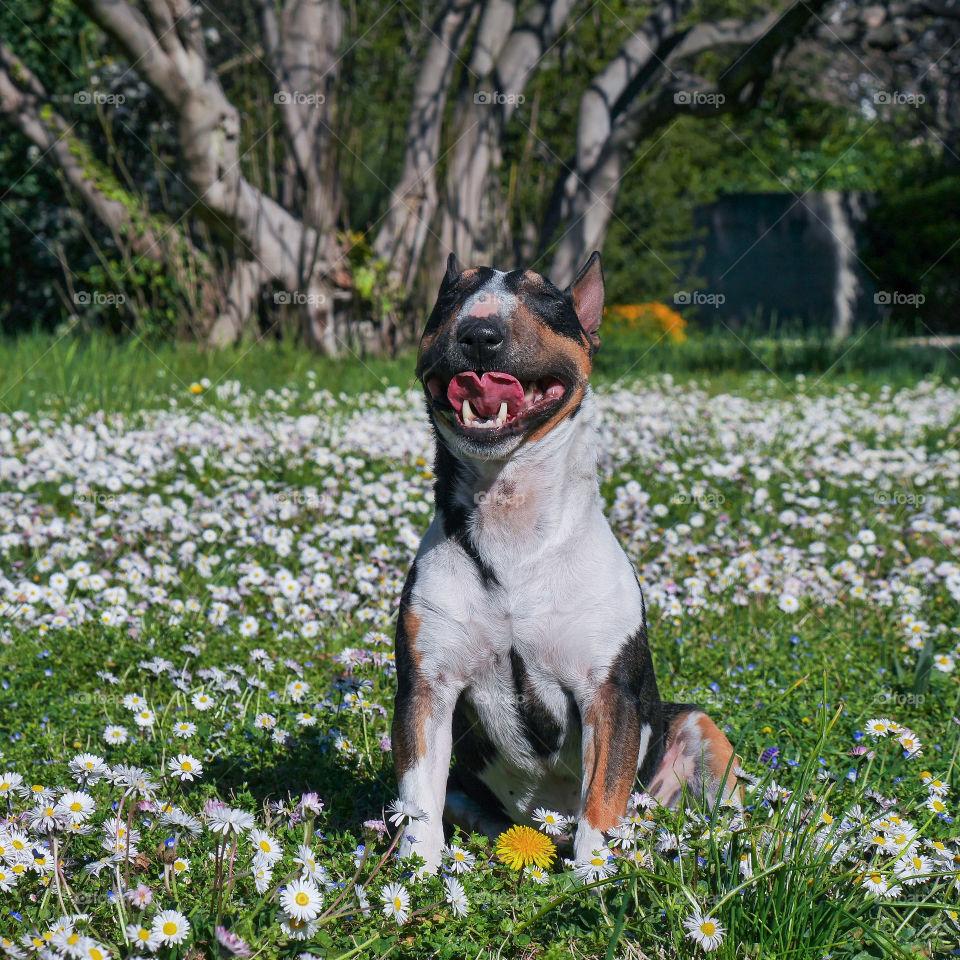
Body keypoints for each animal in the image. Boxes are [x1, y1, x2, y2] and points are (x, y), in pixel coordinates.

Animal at [394, 249, 740, 872]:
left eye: (545, 300)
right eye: (450, 299)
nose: (479, 333)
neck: (514, 533)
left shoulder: (607, 694)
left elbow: (601, 801)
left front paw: (591, 879)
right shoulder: (425, 686)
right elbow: (416, 801)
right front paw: (416, 879)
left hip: (696, 734)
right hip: (468, 789)